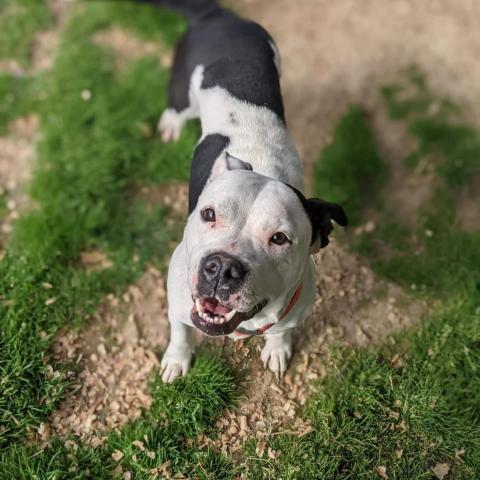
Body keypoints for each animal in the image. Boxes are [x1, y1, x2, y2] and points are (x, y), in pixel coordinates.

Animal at [137, 0, 346, 382]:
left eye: (280, 238)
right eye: (208, 214)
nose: (222, 268)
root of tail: (220, 17)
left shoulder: (297, 307)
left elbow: (281, 330)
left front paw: (277, 349)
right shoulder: (178, 303)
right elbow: (180, 333)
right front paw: (177, 359)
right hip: (183, 90)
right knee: (177, 107)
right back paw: (172, 124)